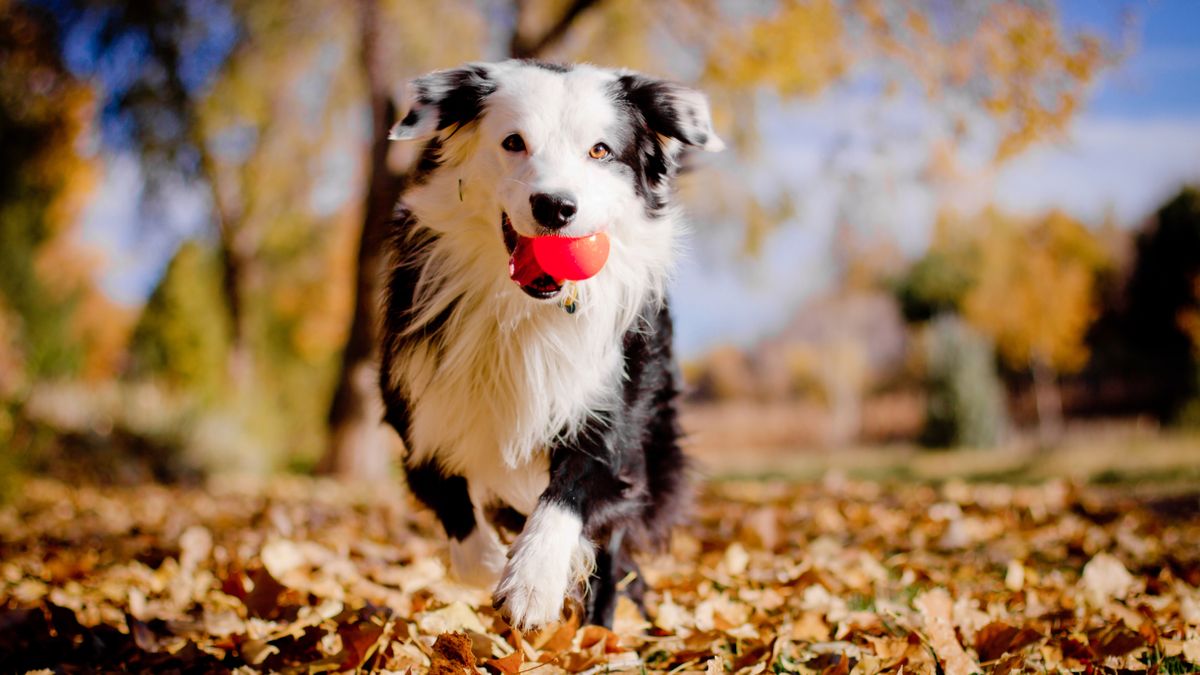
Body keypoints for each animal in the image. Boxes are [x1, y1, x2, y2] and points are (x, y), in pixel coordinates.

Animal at [379, 57, 724, 624]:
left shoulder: (611, 415)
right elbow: (450, 504)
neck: (525, 312)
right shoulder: (418, 410)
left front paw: (532, 582)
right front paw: (491, 562)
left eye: (600, 150)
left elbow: (569, 492)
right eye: (513, 142)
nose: (555, 207)